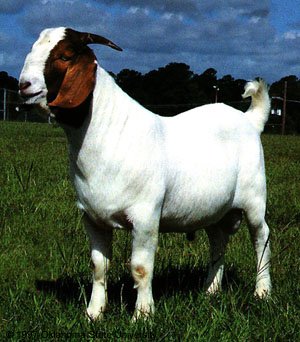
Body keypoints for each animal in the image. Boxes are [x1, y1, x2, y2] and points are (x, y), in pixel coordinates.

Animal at [18, 26, 272, 320]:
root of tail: (250, 120)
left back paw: (262, 292)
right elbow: (98, 267)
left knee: (261, 238)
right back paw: (210, 291)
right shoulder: (92, 217)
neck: (108, 133)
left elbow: (140, 268)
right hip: (215, 209)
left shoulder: (146, 215)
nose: (23, 85)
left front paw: (142, 315)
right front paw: (94, 313)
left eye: (66, 55)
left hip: (254, 198)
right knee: (218, 242)